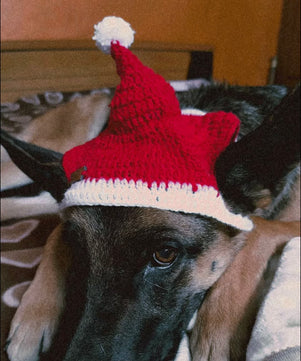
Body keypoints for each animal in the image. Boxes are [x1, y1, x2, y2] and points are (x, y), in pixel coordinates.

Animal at [1, 82, 298, 360]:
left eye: (165, 254)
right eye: (79, 249)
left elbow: (257, 229)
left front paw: (220, 327)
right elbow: (57, 230)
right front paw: (34, 316)